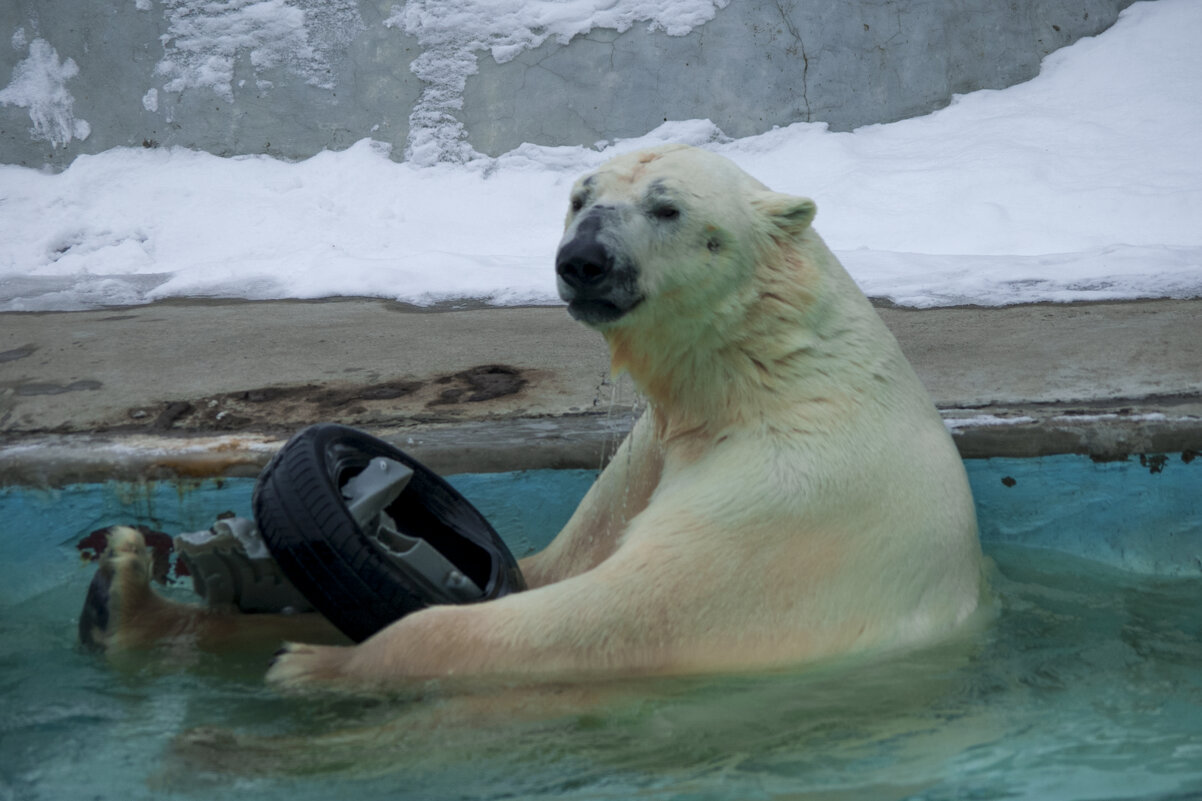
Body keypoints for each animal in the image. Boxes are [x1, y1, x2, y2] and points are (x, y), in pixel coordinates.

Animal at [260, 144, 976, 687]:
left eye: (667, 207)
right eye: (581, 197)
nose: (583, 261)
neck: (767, 376)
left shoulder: (785, 504)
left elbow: (619, 614)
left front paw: (317, 662)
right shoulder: (650, 451)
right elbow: (560, 558)